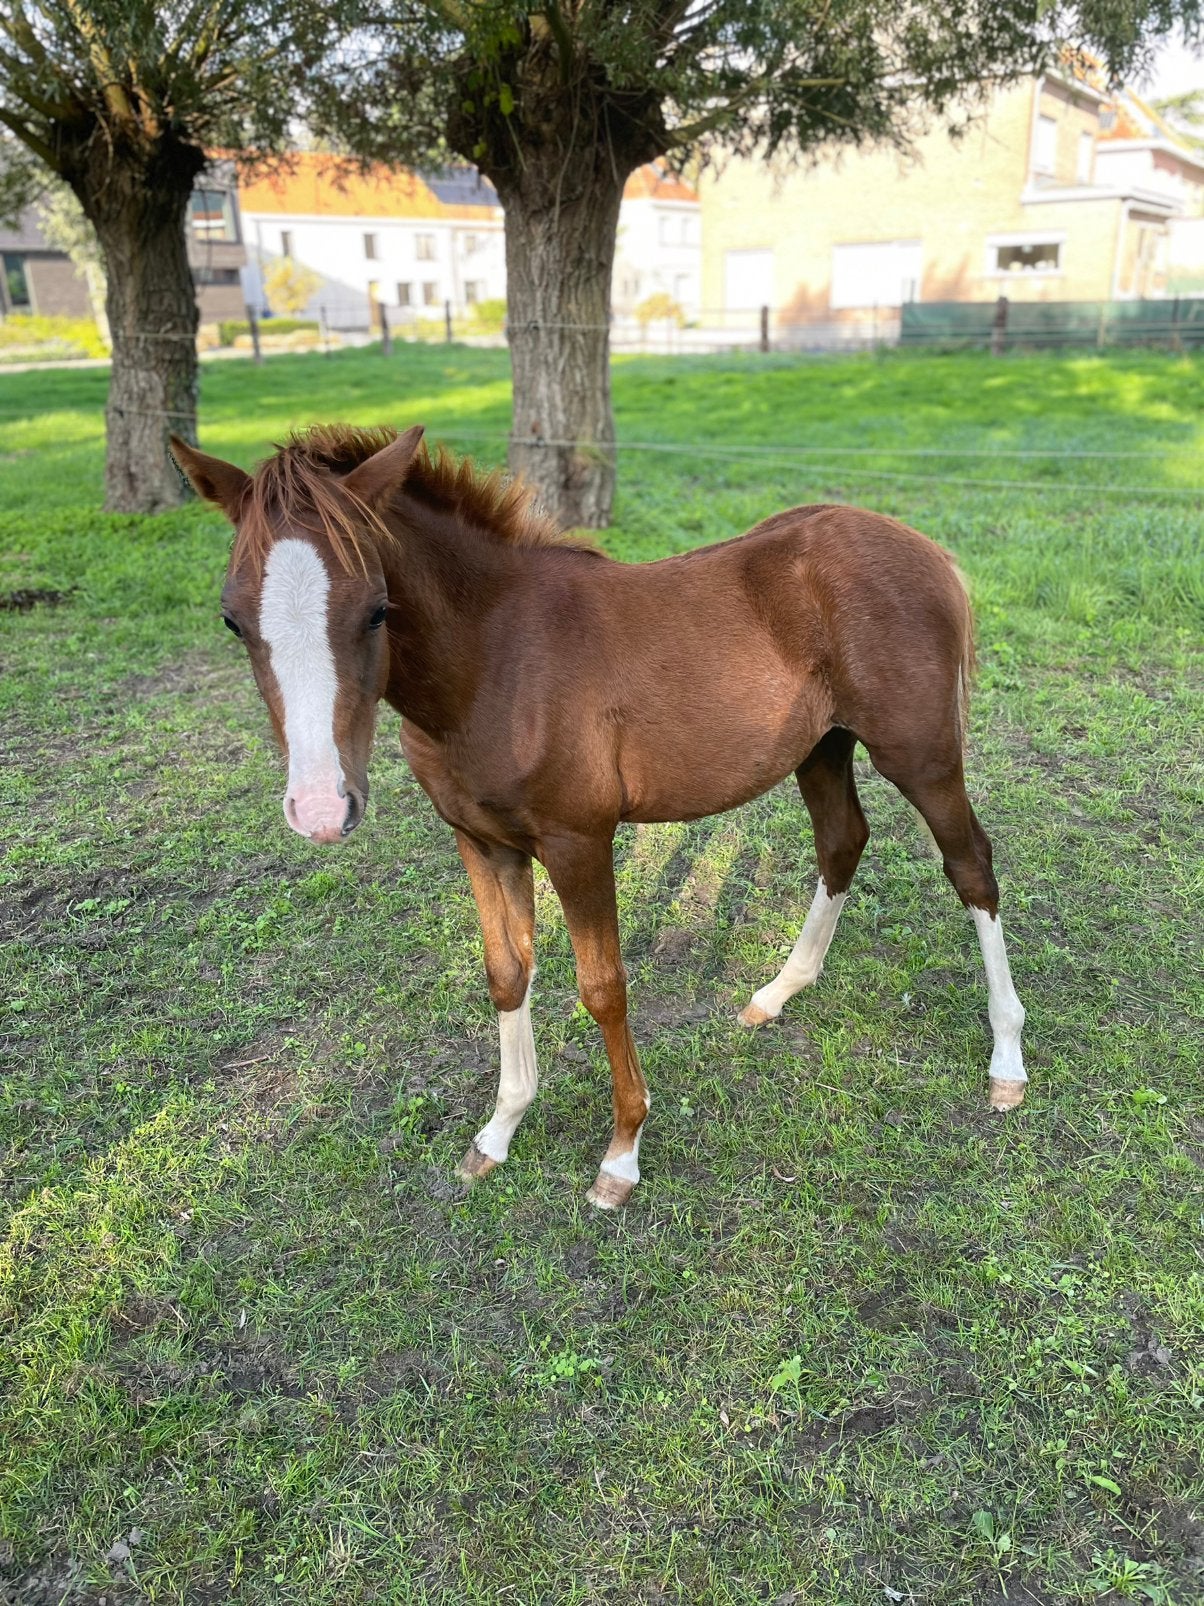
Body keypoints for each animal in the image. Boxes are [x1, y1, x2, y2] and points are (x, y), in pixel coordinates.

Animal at [171, 423, 1027, 1209]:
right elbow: (507, 972)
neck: (495, 660)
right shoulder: (481, 842)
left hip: (919, 755)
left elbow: (602, 985)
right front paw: (498, 1131)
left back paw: (1007, 1061)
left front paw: (621, 1156)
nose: (321, 809)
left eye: (378, 610)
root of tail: (926, 549)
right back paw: (777, 992)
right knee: (843, 842)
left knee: (971, 867)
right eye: (233, 621)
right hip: (820, 748)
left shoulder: (577, 841)